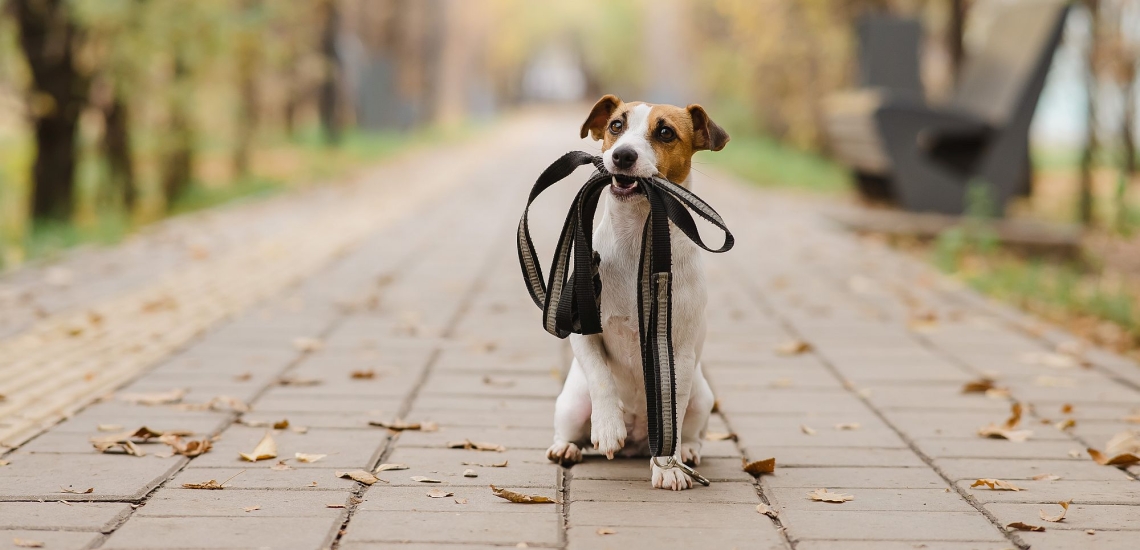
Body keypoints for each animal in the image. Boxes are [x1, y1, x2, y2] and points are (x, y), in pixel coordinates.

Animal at [549, 93, 729, 490]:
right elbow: (601, 377)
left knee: (690, 429)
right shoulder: (582, 330)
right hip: (572, 402)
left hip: (702, 397)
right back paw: (568, 447)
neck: (637, 237)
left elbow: (671, 410)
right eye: (616, 125)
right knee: (569, 428)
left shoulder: (677, 352)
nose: (622, 156)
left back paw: (686, 452)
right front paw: (607, 427)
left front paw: (669, 467)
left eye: (665, 132)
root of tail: (637, 441)